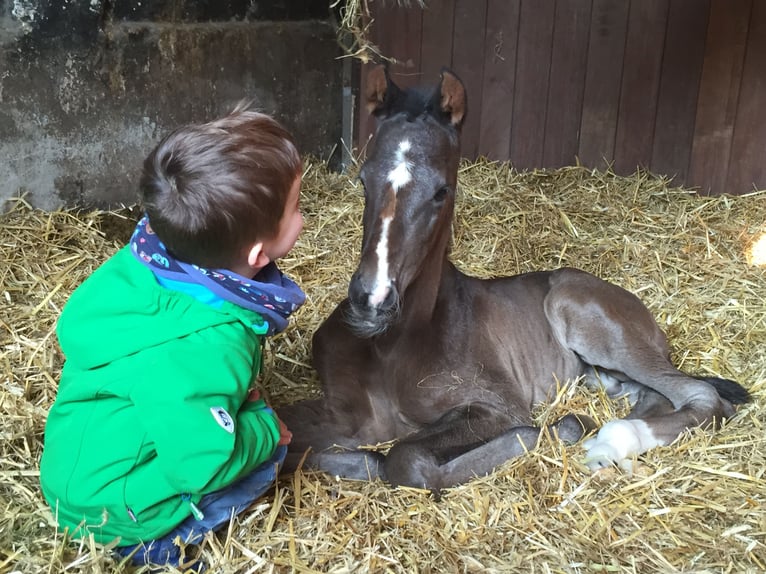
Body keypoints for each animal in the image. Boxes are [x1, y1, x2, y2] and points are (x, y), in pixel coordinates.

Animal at [278, 65, 750, 492]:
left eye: (441, 191)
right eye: (363, 179)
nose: (372, 300)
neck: (393, 346)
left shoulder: (497, 407)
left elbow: (405, 457)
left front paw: (552, 431)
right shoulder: (344, 413)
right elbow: (289, 438)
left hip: (590, 324)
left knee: (702, 397)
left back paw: (606, 440)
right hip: (605, 375)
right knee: (654, 396)